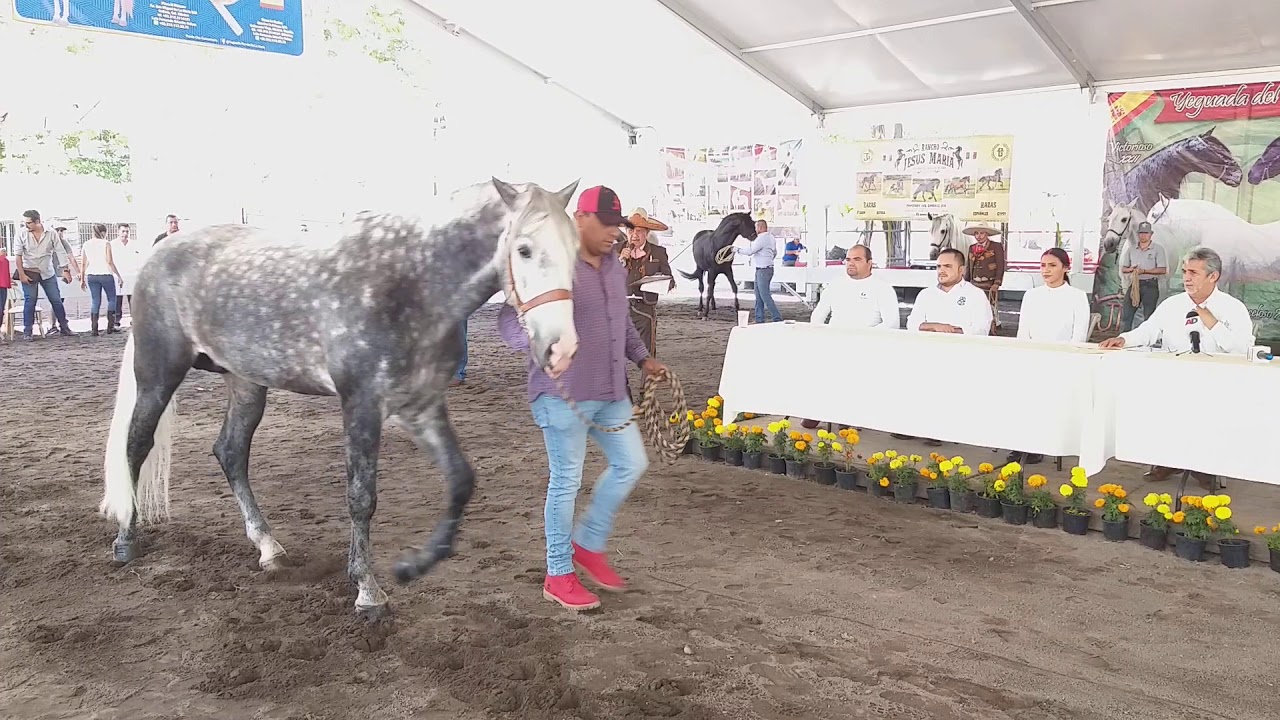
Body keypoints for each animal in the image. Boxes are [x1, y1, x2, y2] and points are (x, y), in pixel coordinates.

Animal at [98, 178, 583, 619]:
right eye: (523, 249)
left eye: (576, 249)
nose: (561, 350)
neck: (410, 282)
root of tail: (159, 254)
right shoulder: (361, 402)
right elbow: (361, 497)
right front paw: (368, 591)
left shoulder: (420, 405)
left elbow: (462, 480)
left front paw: (415, 565)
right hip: (158, 373)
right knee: (136, 444)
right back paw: (125, 539)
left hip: (246, 382)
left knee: (230, 452)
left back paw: (269, 547)